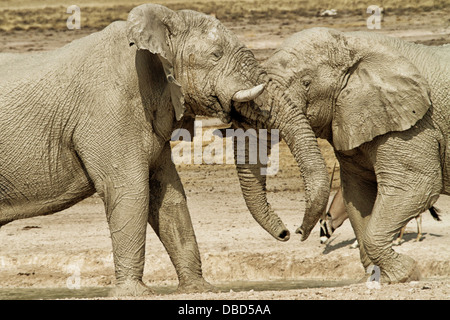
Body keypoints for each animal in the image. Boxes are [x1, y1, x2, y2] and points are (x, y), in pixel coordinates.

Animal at [0, 3, 268, 296]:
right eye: (215, 55)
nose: (287, 234)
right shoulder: (110, 107)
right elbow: (130, 190)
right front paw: (133, 293)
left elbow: (168, 195)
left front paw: (199, 289)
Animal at [234, 26, 448, 282]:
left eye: (306, 83)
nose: (293, 232)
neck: (353, 42)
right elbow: (358, 193)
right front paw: (376, 278)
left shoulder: (414, 125)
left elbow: (416, 187)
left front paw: (405, 273)